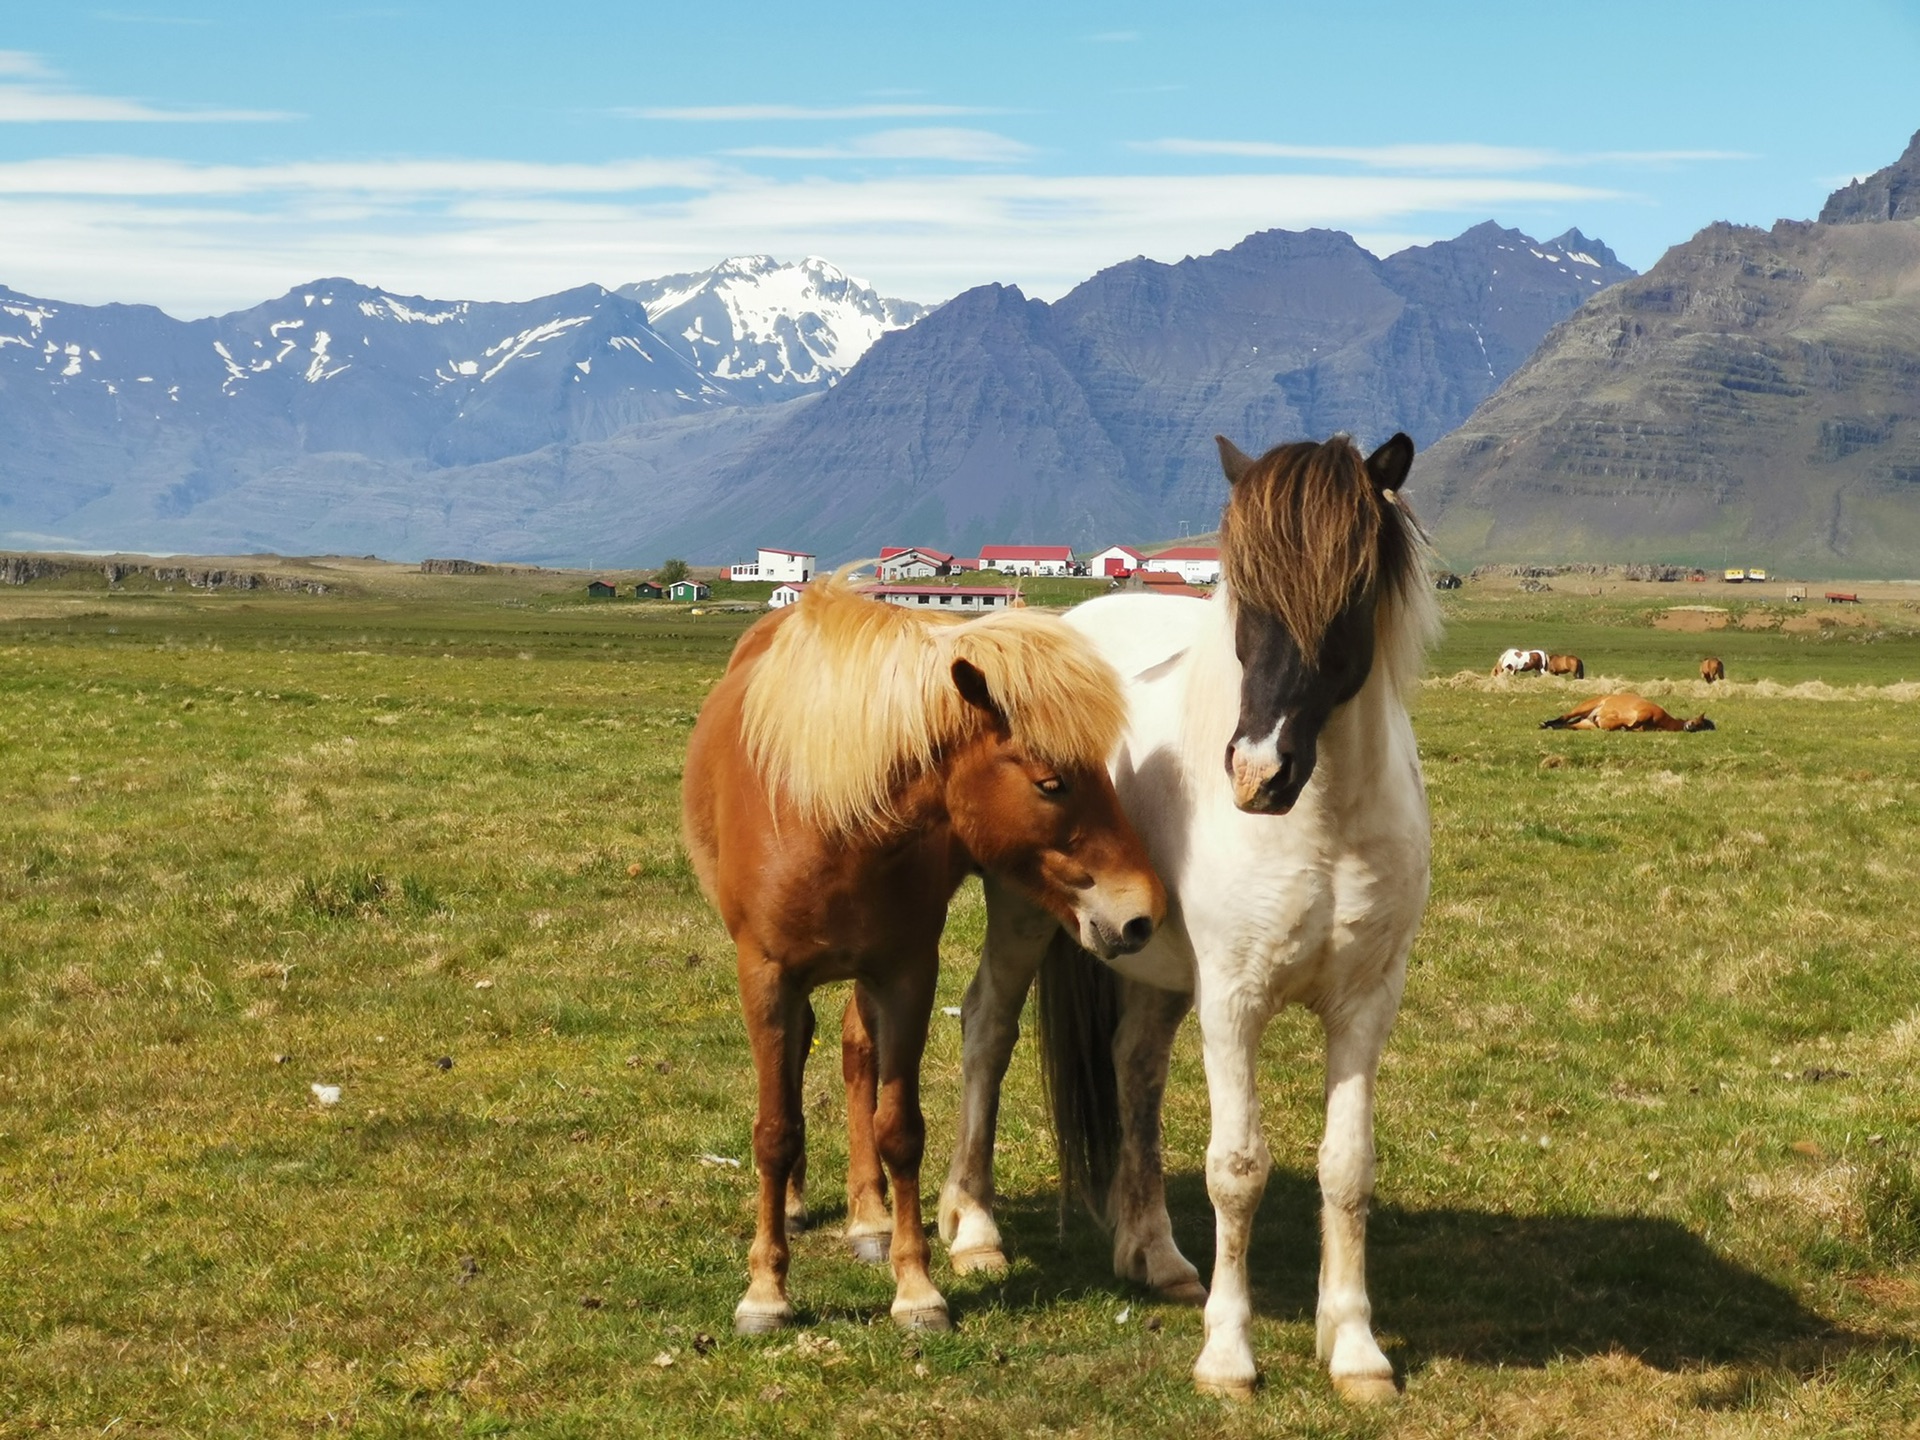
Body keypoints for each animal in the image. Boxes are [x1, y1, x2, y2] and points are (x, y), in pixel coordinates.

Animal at [683, 579, 1159, 1344]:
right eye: (1051, 783)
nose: (1140, 913)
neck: (829, 815)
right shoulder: (766, 976)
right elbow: (774, 1129)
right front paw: (765, 1292)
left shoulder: (906, 973)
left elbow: (900, 1129)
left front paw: (915, 1289)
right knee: (800, 1060)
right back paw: (795, 1205)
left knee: (856, 1053)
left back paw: (868, 1218)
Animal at [936, 433, 1436, 1405]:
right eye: (1243, 593)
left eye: (1351, 592)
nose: (1257, 772)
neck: (1325, 824)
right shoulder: (1233, 1003)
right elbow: (1237, 1171)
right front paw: (1229, 1357)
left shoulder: (1366, 1004)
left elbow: (1346, 1168)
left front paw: (1355, 1348)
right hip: (1024, 918)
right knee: (987, 1027)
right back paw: (974, 1231)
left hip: (1157, 970)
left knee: (1134, 1065)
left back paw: (1155, 1254)